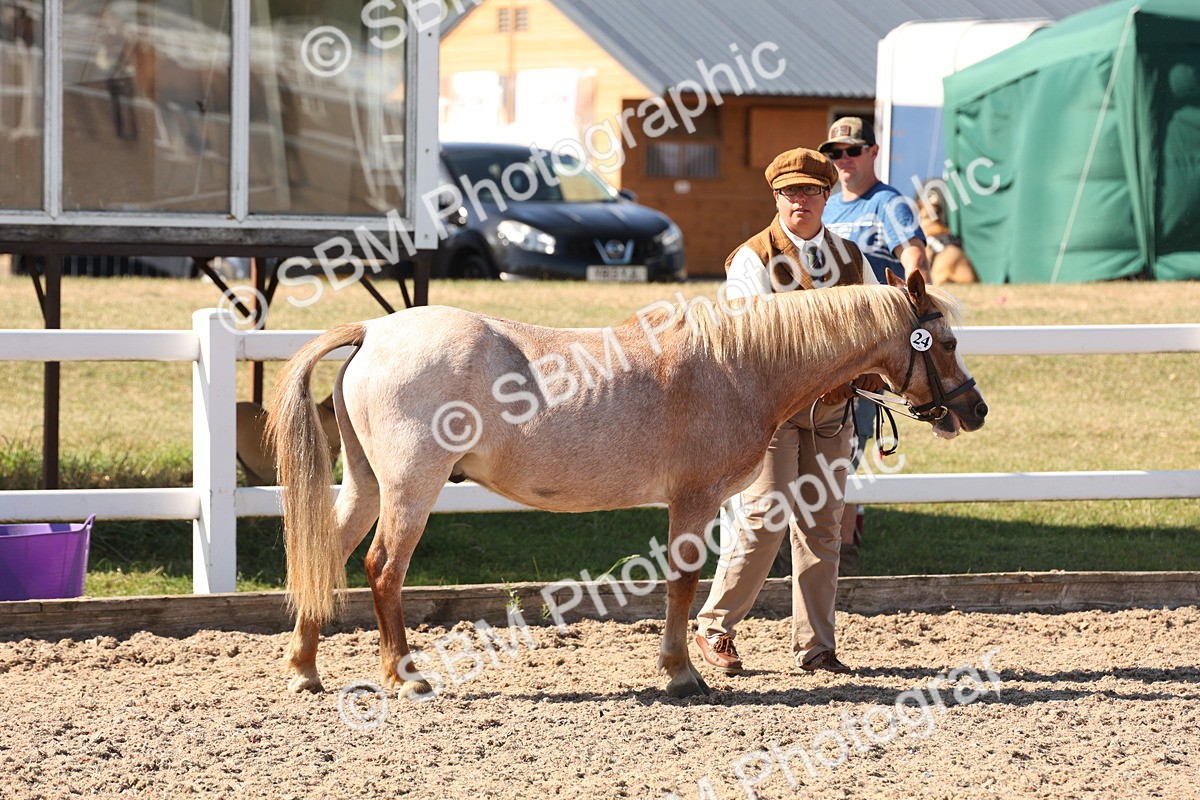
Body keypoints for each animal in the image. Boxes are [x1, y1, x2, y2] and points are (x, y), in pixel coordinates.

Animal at [267, 270, 988, 699]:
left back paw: (304, 670)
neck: (739, 365)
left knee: (327, 554)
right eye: (947, 341)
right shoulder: (695, 499)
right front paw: (681, 673)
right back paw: (404, 676)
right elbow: (685, 582)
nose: (975, 409)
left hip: (365, 486)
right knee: (383, 569)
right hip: (411, 490)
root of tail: (374, 330)